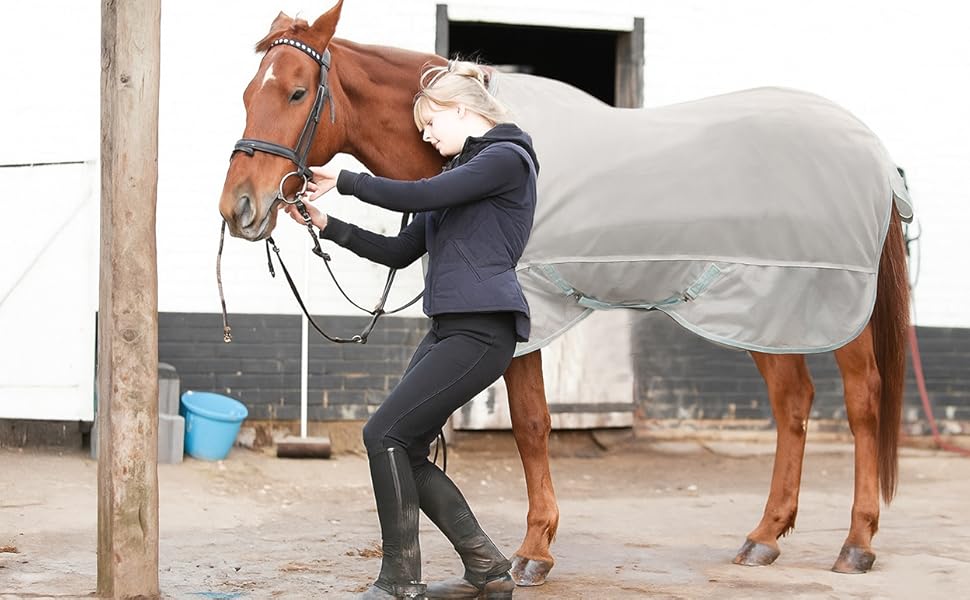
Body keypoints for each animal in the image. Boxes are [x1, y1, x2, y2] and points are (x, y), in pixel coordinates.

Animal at [218, 1, 910, 585]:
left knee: (862, 402)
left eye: (297, 91)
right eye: (248, 92)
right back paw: (764, 537)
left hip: (830, 305)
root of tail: (875, 151)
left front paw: (533, 552)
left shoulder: (528, 323)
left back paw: (856, 544)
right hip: (762, 311)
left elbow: (530, 426)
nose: (239, 208)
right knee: (793, 403)